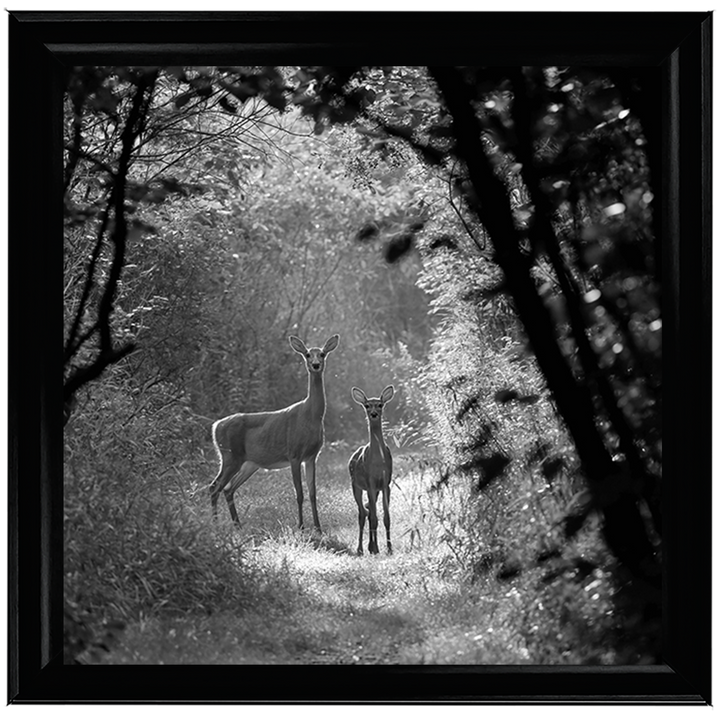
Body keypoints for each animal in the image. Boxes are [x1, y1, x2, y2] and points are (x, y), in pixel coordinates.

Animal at [209, 334, 339, 532]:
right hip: (230, 456)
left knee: (228, 488)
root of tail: (215, 426)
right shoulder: (294, 453)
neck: (311, 416)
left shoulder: (311, 456)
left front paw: (318, 528)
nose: (316, 365)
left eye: (323, 354)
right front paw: (301, 526)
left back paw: (237, 525)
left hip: (249, 463)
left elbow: (312, 493)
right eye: (308, 354)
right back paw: (216, 525)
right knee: (214, 486)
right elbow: (299, 493)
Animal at [348, 385, 395, 555]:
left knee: (368, 512)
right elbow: (374, 517)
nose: (373, 414)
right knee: (363, 513)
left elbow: (386, 518)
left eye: (380, 404)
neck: (378, 461)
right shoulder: (370, 483)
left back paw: (370, 546)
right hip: (355, 485)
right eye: (367, 405)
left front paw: (389, 548)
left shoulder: (385, 483)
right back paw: (361, 549)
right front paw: (376, 548)